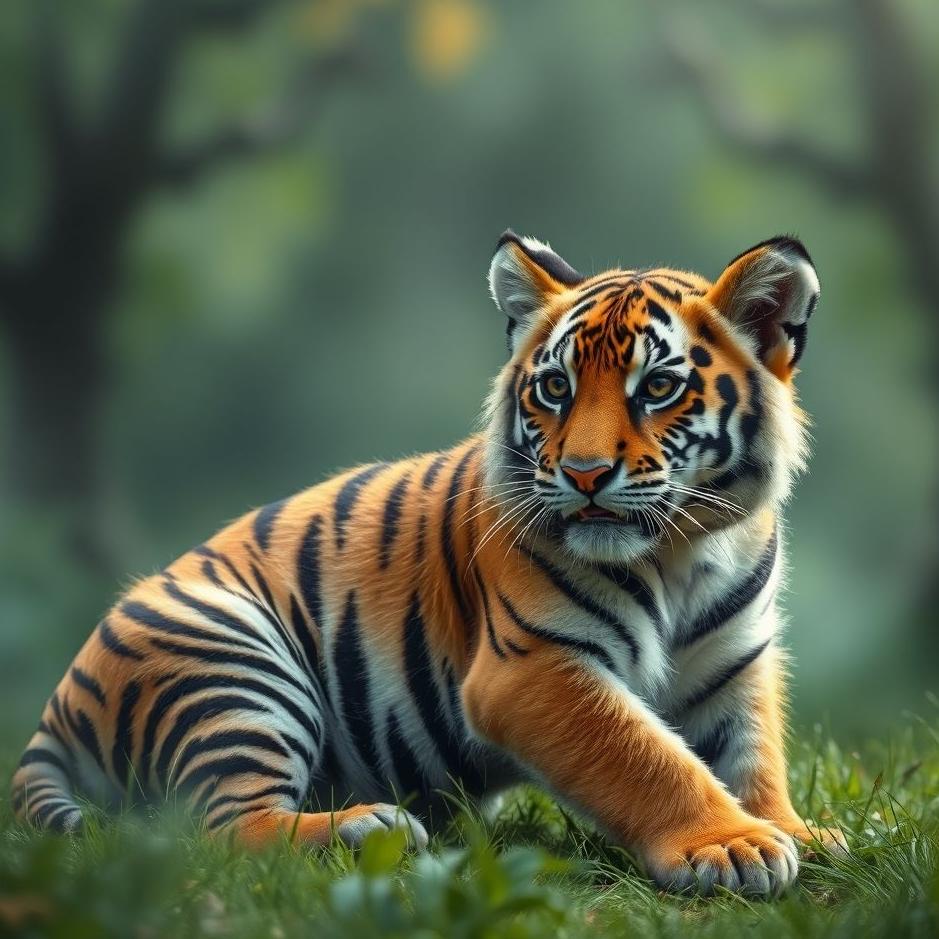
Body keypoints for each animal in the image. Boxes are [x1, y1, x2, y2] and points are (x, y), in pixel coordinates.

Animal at [11, 230, 845, 896]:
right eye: (555, 387)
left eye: (659, 387)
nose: (582, 474)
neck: (684, 552)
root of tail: (55, 709)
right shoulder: (532, 667)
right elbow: (645, 756)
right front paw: (729, 844)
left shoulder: (734, 665)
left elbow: (751, 758)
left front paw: (793, 831)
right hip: (233, 662)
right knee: (216, 829)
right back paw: (365, 828)